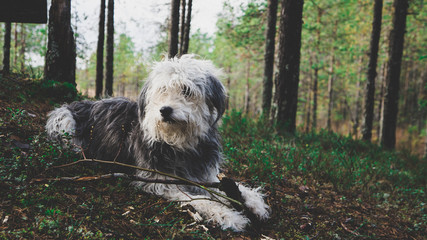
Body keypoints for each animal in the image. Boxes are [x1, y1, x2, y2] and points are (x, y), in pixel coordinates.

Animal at [45, 54, 270, 232]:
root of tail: (82, 102)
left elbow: (230, 186)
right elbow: (202, 199)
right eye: (162, 89)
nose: (165, 110)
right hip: (63, 120)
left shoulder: (205, 174)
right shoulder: (161, 181)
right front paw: (229, 215)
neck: (180, 143)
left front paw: (253, 202)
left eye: (186, 90)